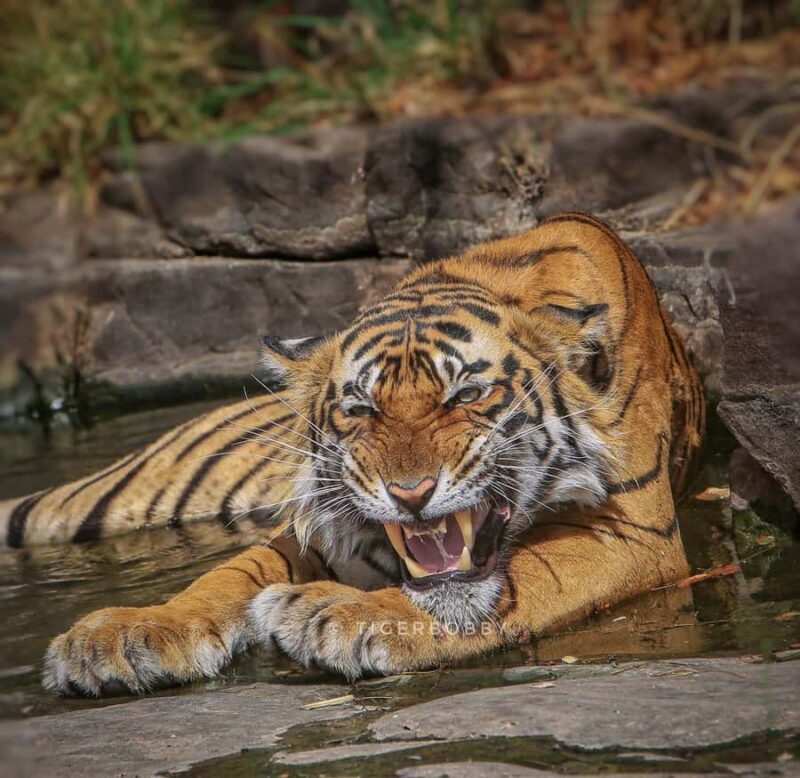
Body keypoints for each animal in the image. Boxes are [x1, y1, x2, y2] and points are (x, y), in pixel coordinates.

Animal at [0, 212, 704, 696]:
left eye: (467, 394)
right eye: (361, 407)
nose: (411, 493)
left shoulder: (633, 531)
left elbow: (528, 574)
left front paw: (335, 614)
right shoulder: (309, 525)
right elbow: (227, 574)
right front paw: (129, 634)